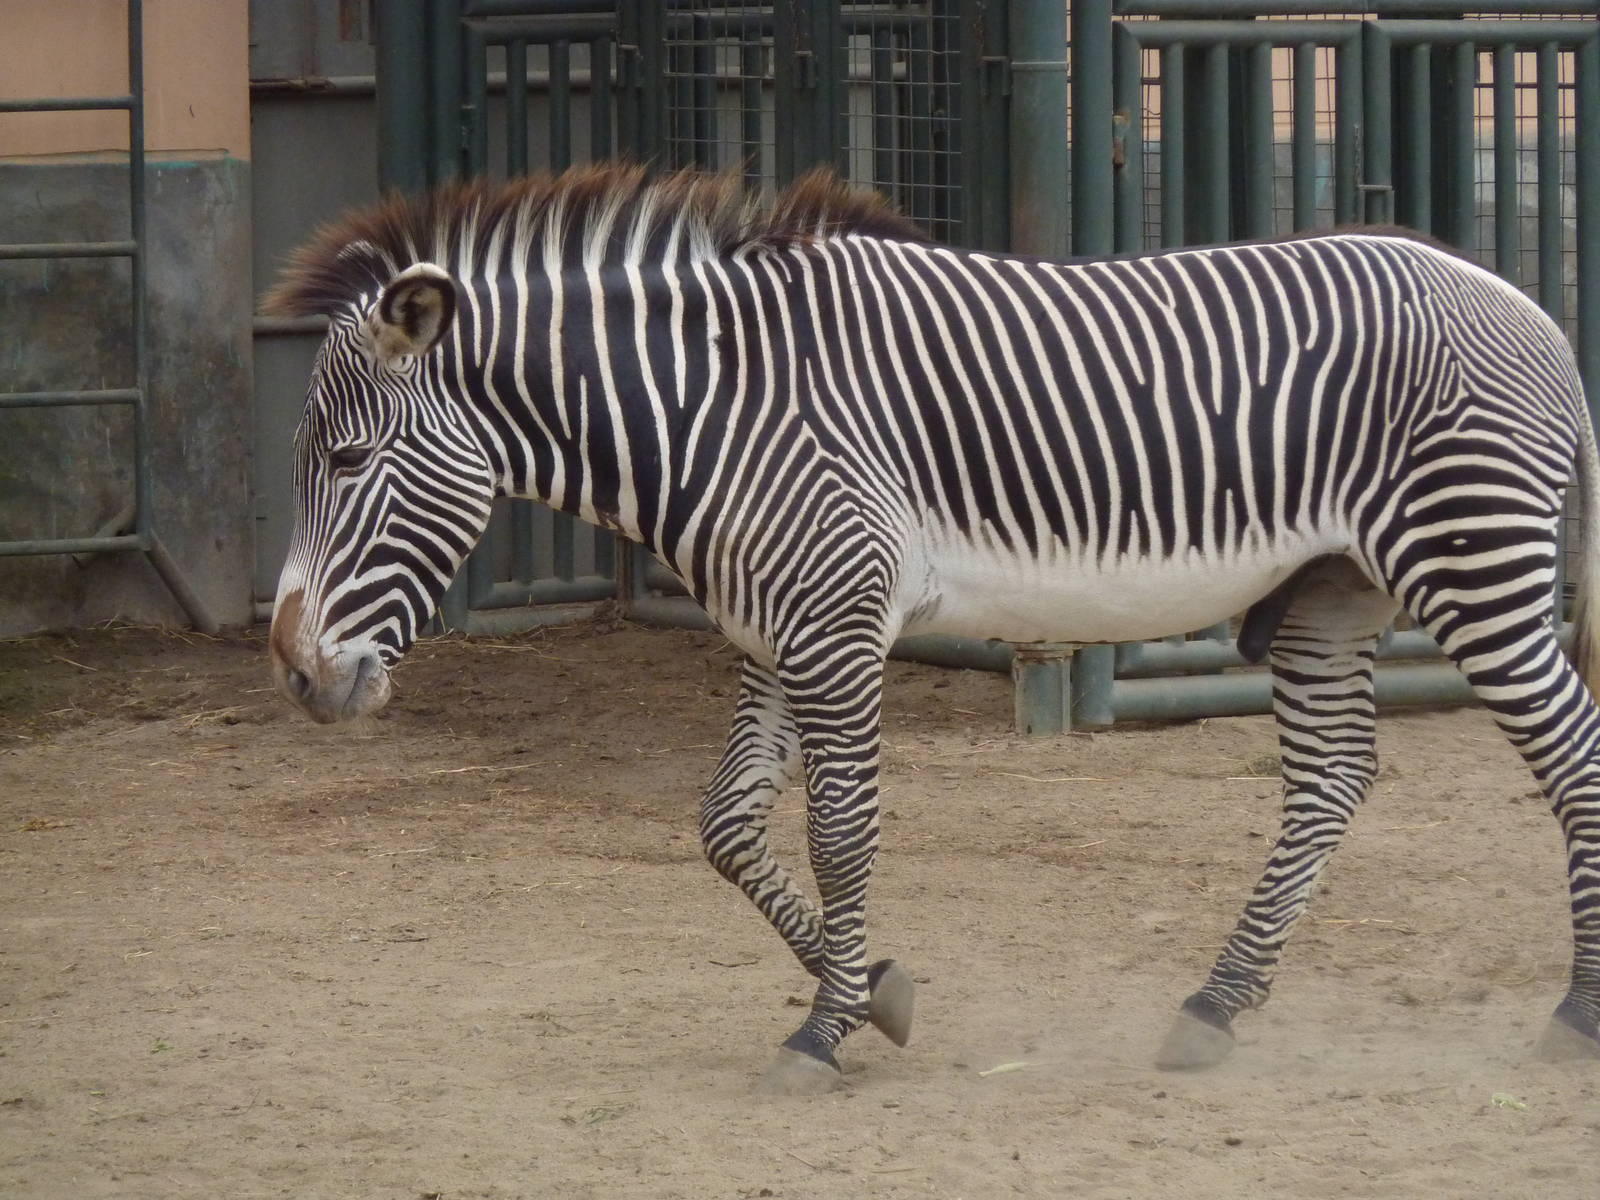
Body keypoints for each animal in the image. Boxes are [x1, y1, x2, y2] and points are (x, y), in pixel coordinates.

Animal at [266, 164, 1600, 1093]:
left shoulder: (836, 620)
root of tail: (1521, 299)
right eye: (313, 457)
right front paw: (878, 991)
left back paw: (1575, 1013)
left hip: (1471, 560)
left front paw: (824, 1031)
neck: (715, 408)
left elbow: (840, 831)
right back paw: (1214, 1008)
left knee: (1572, 760)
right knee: (1331, 779)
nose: (293, 675)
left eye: (348, 459)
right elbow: (724, 826)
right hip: (1332, 588)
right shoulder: (771, 630)